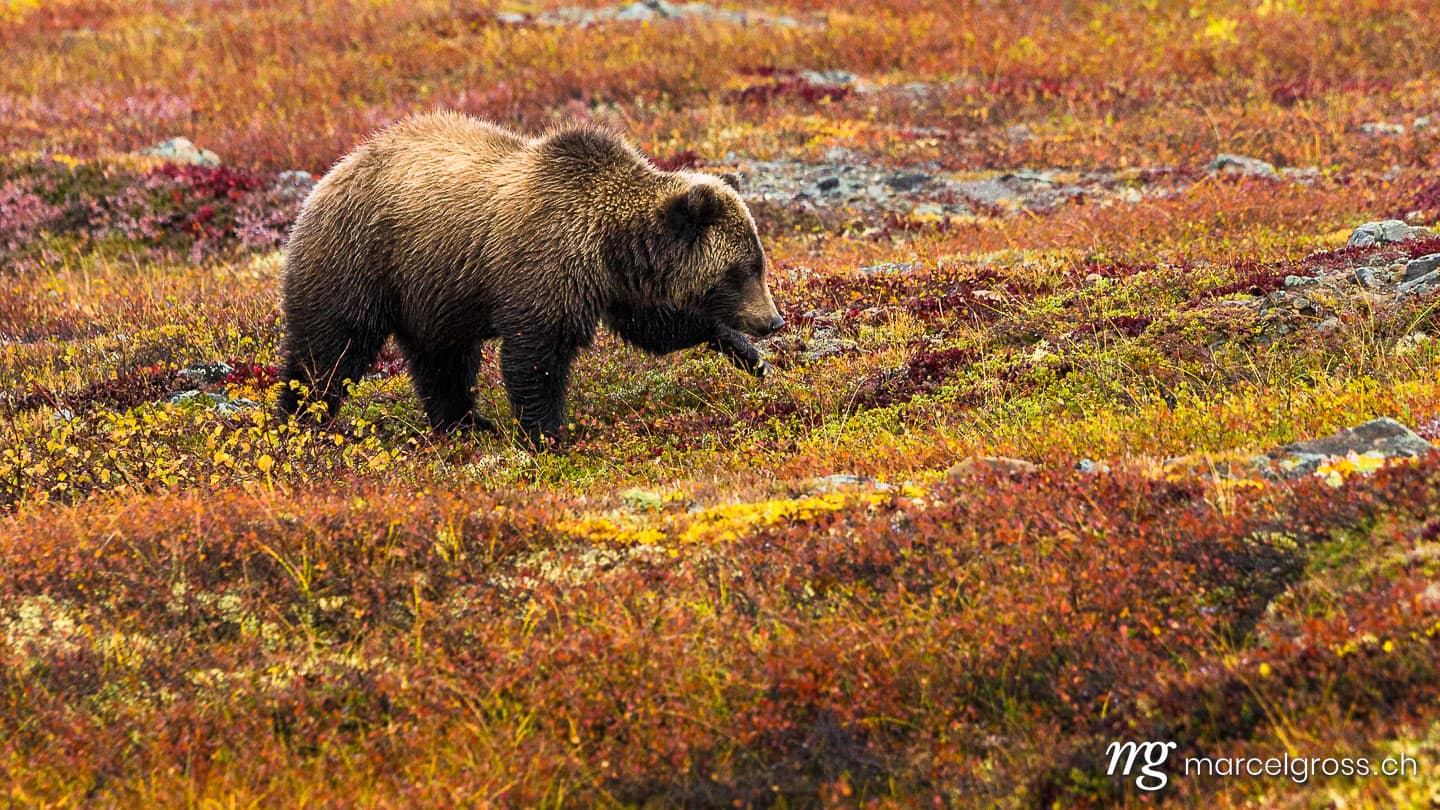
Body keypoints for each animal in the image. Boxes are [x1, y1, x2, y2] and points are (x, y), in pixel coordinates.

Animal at [277, 111, 783, 448]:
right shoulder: (546, 264)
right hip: (357, 259)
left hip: (431, 289)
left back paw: (465, 423)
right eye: (741, 270)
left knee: (444, 360)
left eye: (758, 261)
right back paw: (302, 421)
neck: (610, 245)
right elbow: (536, 356)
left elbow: (657, 328)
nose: (773, 321)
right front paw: (548, 434)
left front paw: (746, 354)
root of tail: (329, 176)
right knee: (330, 348)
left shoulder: (618, 284)